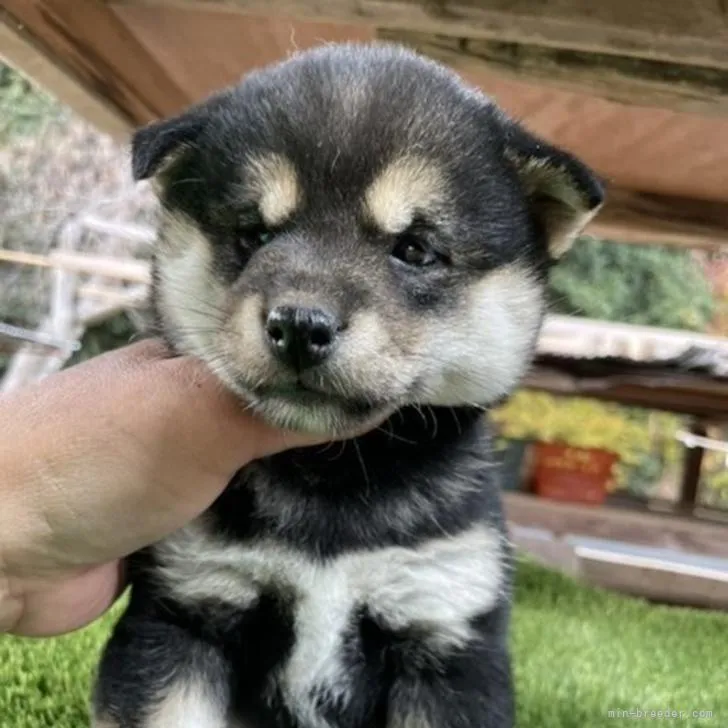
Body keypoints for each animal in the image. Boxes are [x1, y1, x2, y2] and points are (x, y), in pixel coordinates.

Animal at [91, 41, 604, 728]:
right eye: (253, 233)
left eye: (415, 249)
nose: (299, 325)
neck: (332, 481)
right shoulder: (184, 610)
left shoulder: (443, 628)